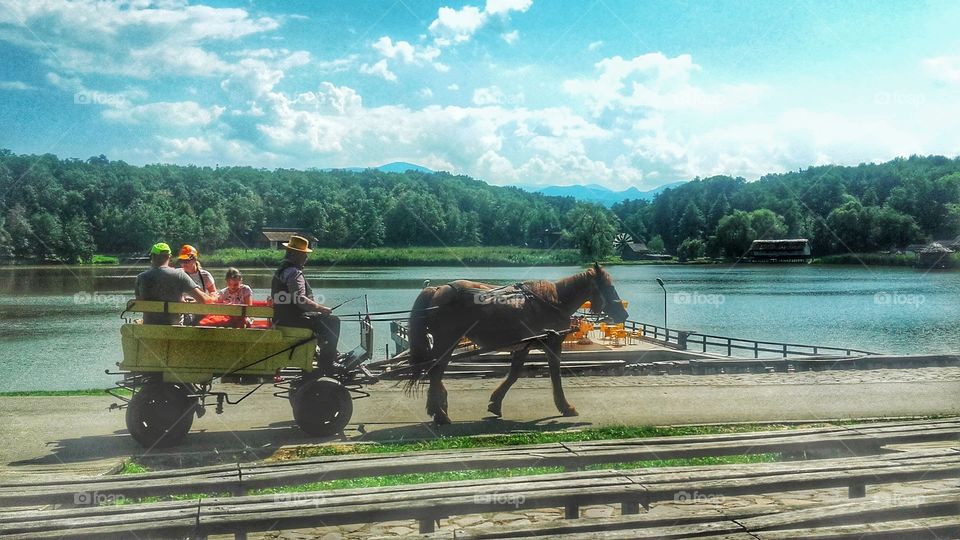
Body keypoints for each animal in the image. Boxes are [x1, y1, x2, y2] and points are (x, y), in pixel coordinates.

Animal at [405, 263, 629, 425]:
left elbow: (514, 374)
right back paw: (440, 414)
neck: (554, 301)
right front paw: (565, 407)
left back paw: (437, 408)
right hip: (447, 342)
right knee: (436, 371)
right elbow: (555, 375)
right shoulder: (553, 344)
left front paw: (495, 403)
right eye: (609, 288)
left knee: (435, 372)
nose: (624, 314)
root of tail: (438, 289)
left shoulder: (524, 346)